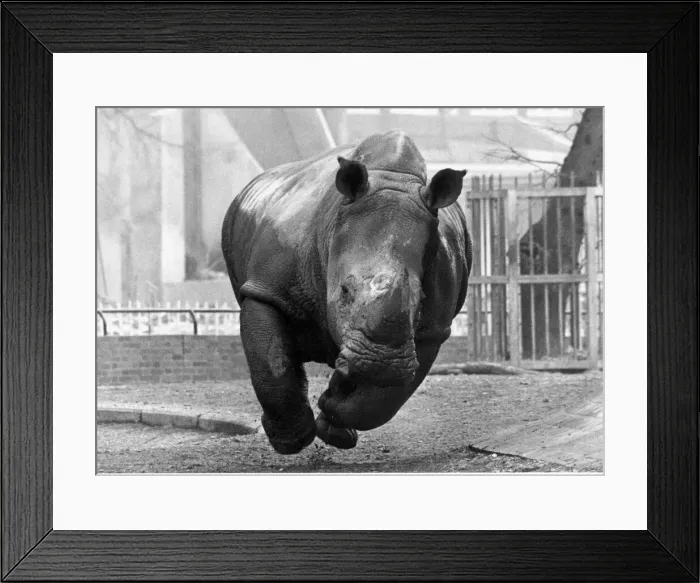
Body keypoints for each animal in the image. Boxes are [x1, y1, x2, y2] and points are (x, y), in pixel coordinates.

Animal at [222, 130, 472, 454]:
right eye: (344, 291)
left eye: (420, 301)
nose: (379, 363)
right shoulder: (266, 289)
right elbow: (271, 361)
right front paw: (291, 441)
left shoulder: (433, 328)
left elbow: (384, 402)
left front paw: (332, 408)